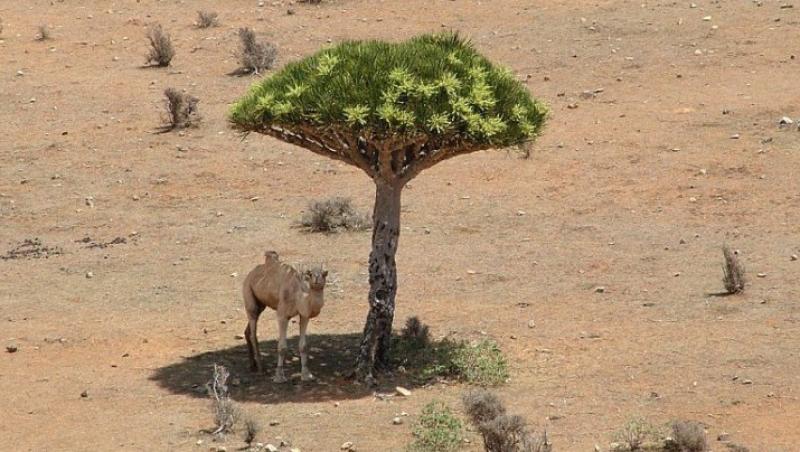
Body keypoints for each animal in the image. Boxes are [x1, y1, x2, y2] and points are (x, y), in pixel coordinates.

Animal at [245, 251, 330, 382]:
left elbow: (303, 346)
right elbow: (282, 347)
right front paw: (279, 376)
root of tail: (250, 273)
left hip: (261, 304)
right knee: (253, 330)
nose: (316, 279)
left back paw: (252, 365)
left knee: (248, 330)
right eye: (310, 274)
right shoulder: (282, 315)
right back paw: (260, 367)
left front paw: (306, 374)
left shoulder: (304, 315)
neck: (298, 295)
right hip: (248, 292)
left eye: (324, 274)